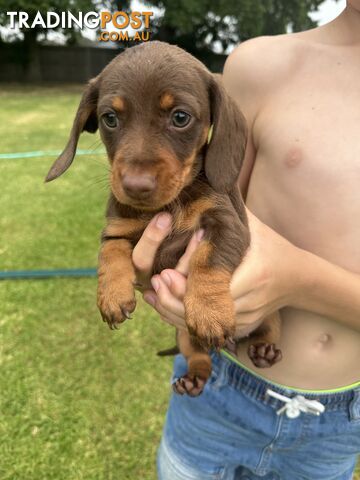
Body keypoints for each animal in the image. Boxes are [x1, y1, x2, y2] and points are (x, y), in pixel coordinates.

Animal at [45, 41, 282, 396]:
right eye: (110, 118)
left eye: (180, 117)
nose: (134, 186)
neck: (169, 206)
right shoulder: (117, 230)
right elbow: (110, 253)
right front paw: (112, 295)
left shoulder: (228, 224)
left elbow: (207, 259)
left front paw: (209, 311)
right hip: (184, 336)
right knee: (199, 357)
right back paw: (194, 378)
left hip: (271, 314)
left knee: (269, 328)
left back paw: (265, 349)